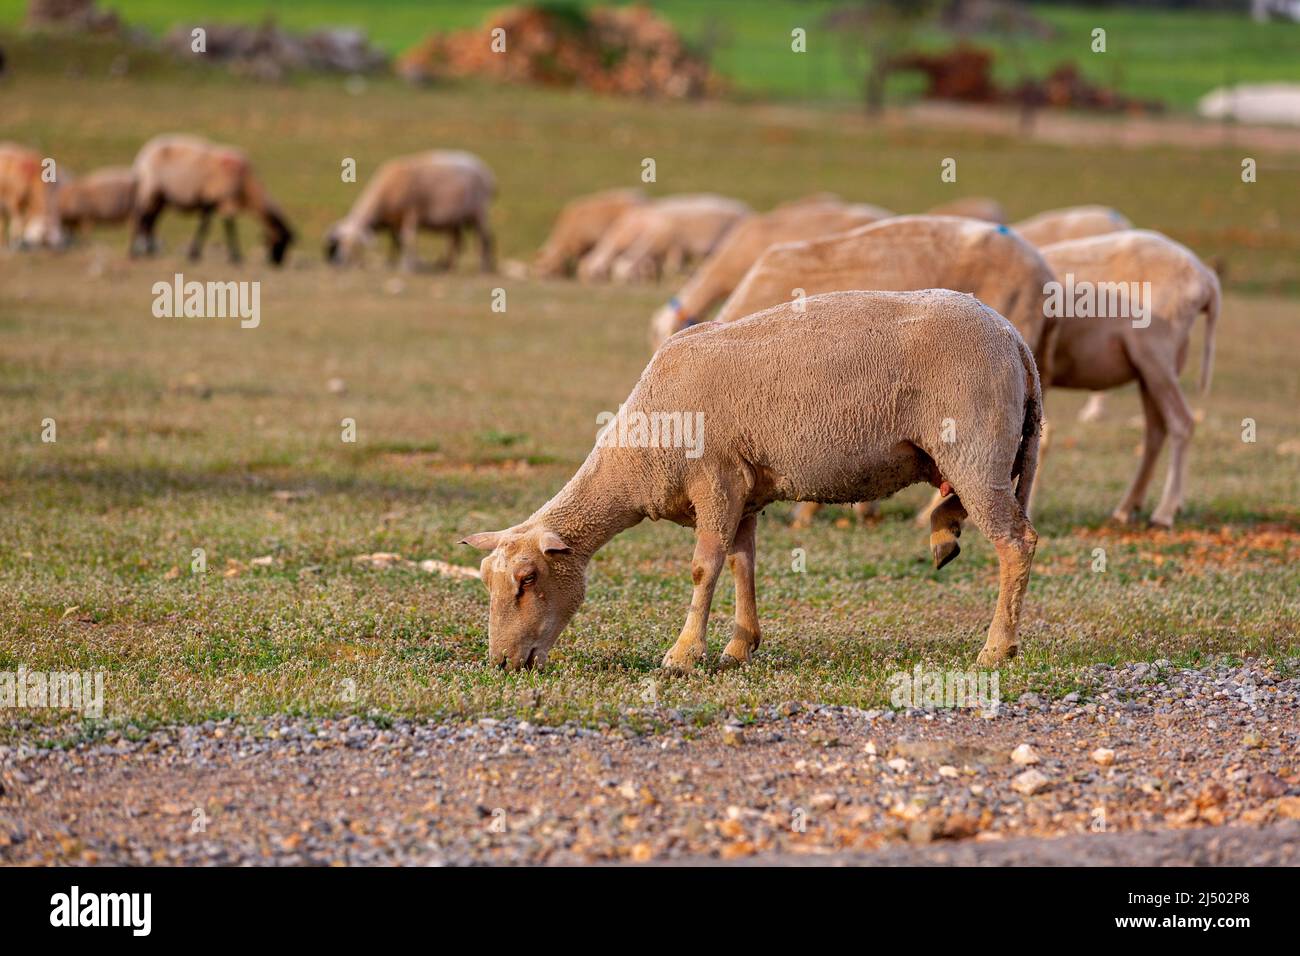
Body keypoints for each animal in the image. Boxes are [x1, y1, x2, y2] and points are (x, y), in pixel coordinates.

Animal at [129, 134, 294, 266]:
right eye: (282, 242)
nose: (277, 263)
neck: (247, 186)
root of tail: (143, 154)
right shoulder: (224, 199)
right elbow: (227, 226)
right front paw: (236, 257)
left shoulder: (211, 202)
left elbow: (205, 226)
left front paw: (194, 254)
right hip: (150, 189)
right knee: (141, 217)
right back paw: (135, 252)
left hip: (160, 197)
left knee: (150, 221)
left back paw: (149, 252)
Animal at [325, 150, 496, 273]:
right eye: (340, 243)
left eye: (356, 245)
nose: (343, 263)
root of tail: (488, 174)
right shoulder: (395, 221)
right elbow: (396, 242)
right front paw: (391, 264)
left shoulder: (411, 212)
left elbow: (409, 239)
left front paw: (408, 266)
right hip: (456, 220)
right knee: (457, 242)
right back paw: (448, 266)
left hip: (479, 211)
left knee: (485, 238)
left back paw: (484, 268)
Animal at [462, 289, 1041, 672]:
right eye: (489, 581)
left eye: (528, 579)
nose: (501, 663)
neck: (639, 452)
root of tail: (1014, 340)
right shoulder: (744, 490)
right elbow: (743, 564)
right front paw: (740, 646)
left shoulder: (714, 479)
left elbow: (704, 567)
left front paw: (683, 654)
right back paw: (946, 533)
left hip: (975, 449)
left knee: (1017, 542)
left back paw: (997, 648)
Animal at [576, 194, 750, 284]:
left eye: (593, 272)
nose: (625, 284)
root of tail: (745, 208)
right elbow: (655, 266)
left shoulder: (675, 246)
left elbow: (671, 268)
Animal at [1040, 230, 1219, 528]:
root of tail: (1206, 278)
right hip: (1151, 368)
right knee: (1156, 430)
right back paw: (1128, 507)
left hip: (1156, 352)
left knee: (1182, 422)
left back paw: (1164, 512)